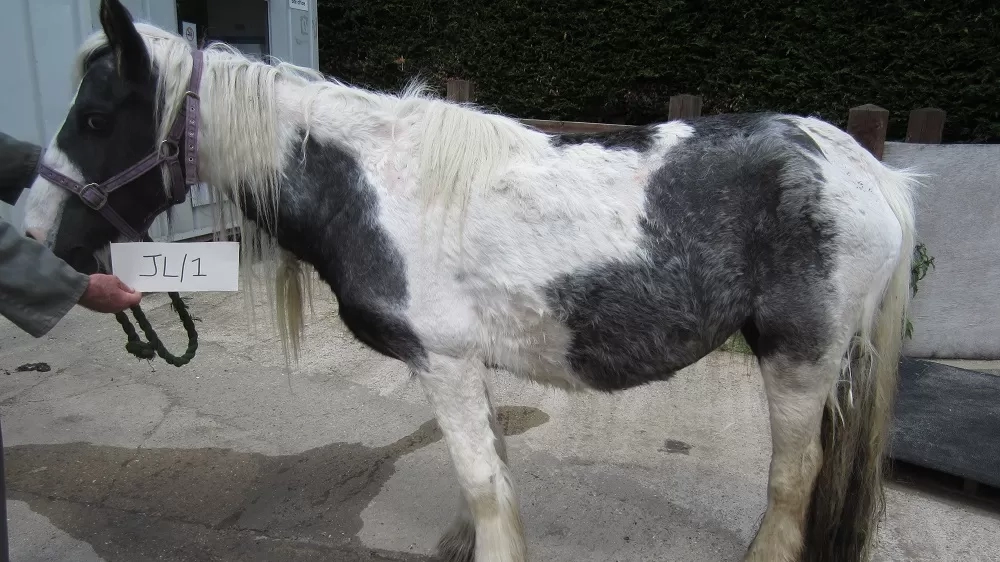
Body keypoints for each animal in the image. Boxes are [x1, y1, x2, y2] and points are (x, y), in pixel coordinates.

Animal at [22, 1, 918, 560]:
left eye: (96, 119)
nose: (34, 235)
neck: (373, 185)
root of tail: (866, 169)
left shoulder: (444, 361)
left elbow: (483, 482)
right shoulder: (464, 366)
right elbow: (487, 469)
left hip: (799, 356)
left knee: (793, 478)